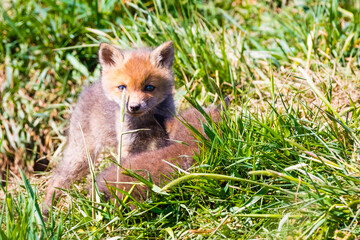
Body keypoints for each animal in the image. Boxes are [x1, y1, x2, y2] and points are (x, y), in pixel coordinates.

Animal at [43, 40, 226, 214]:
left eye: (149, 87)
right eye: (122, 87)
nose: (133, 107)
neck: (145, 123)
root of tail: (88, 89)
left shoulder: (162, 137)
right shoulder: (128, 143)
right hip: (81, 156)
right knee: (57, 179)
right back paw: (46, 210)